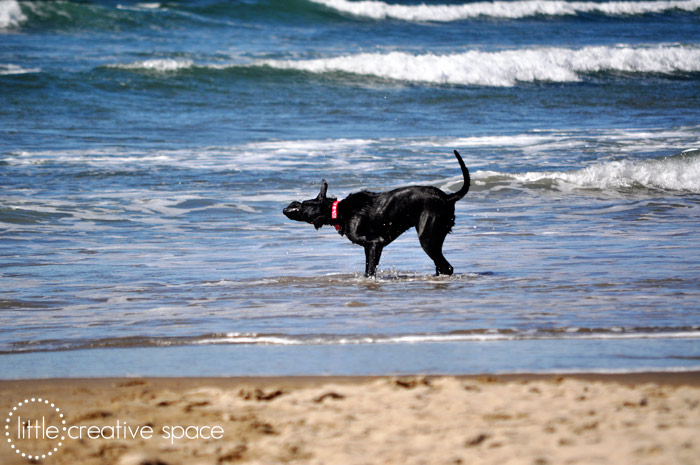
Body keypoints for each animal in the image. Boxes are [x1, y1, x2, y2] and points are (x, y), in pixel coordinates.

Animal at [284, 150, 470, 276]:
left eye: (302, 207)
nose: (286, 208)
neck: (341, 210)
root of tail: (448, 197)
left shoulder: (374, 243)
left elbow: (370, 271)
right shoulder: (371, 248)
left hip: (428, 237)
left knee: (446, 267)